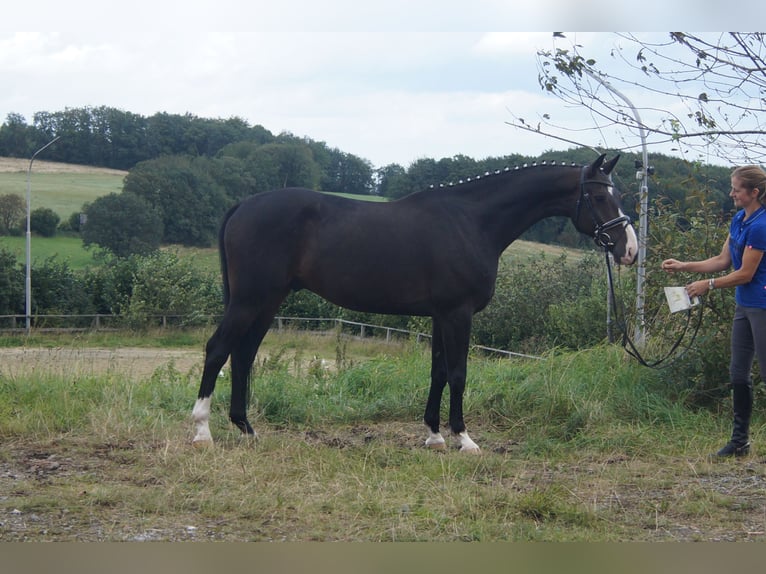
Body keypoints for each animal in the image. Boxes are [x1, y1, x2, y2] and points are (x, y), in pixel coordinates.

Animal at [195, 154, 640, 454]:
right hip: (251, 299)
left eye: (618, 193)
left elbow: (438, 372)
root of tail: (243, 205)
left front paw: (434, 435)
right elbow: (458, 374)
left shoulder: (441, 315)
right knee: (218, 350)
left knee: (244, 355)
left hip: (268, 301)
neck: (473, 222)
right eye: (598, 195)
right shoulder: (458, 314)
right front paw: (464, 438)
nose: (630, 249)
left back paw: (247, 429)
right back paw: (202, 431)